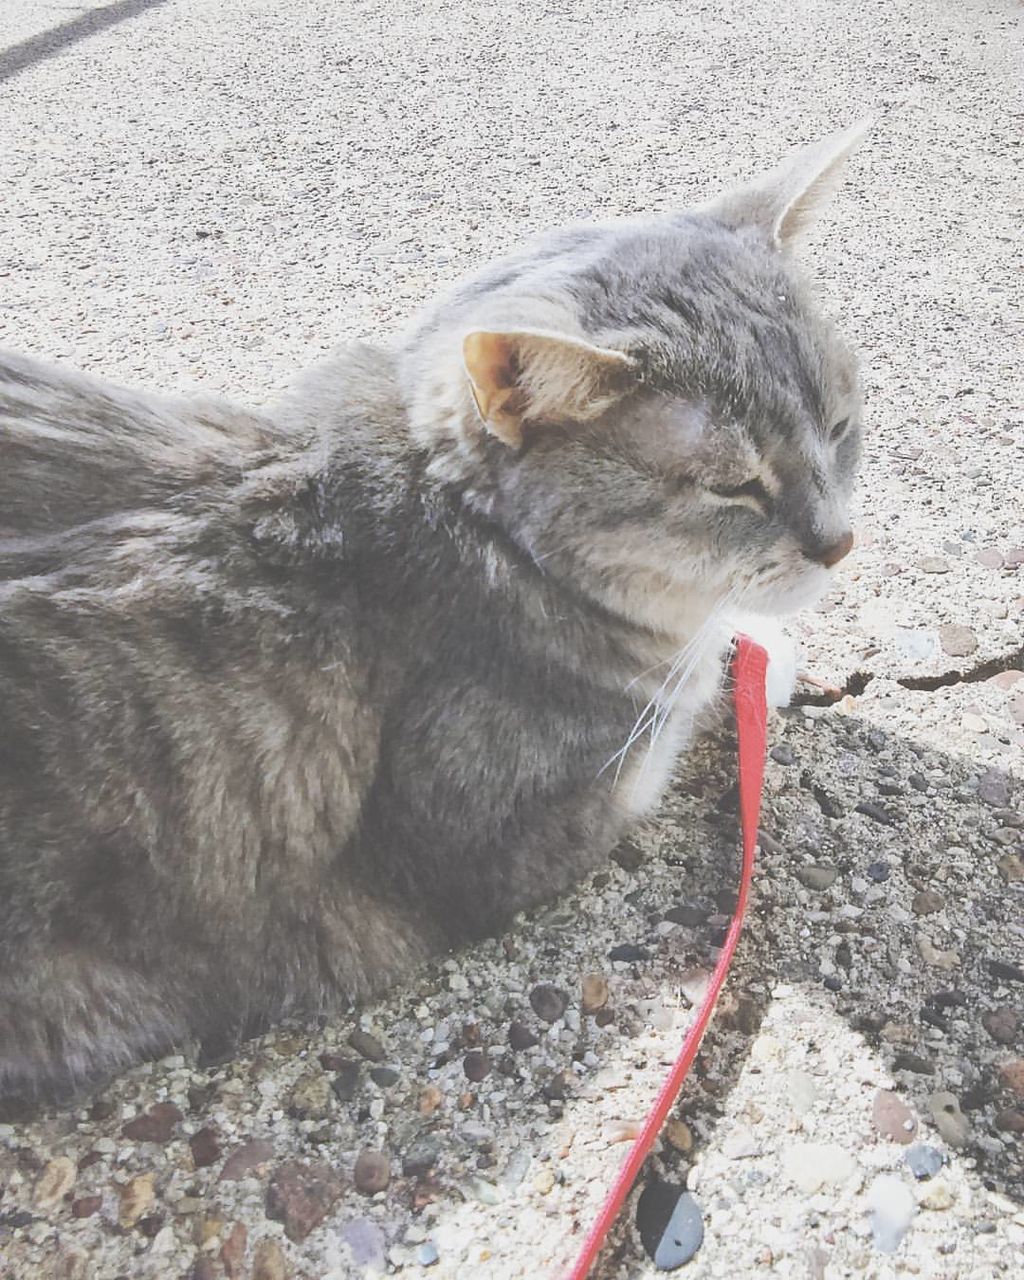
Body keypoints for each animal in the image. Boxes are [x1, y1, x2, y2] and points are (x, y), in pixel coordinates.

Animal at [0, 122, 870, 1100]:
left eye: (841, 426)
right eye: (733, 487)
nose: (839, 543)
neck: (466, 527)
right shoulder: (503, 834)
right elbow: (690, 689)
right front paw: (753, 647)